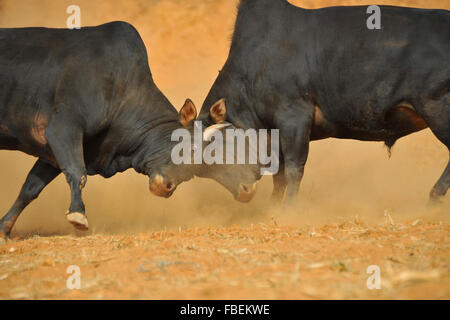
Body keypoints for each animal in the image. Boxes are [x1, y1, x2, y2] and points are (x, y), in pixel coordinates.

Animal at [199, 0, 448, 205]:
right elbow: (279, 175)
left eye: (215, 150)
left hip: (438, 112)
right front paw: (273, 206)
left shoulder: (294, 118)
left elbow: (293, 170)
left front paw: (288, 209)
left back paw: (434, 197)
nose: (243, 193)